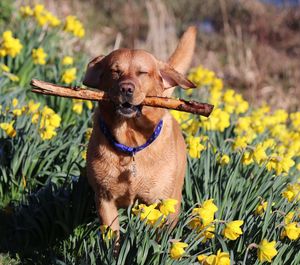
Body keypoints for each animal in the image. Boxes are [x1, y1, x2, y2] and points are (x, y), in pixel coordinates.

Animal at [83, 26, 198, 233]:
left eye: (142, 72)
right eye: (115, 71)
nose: (126, 88)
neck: (131, 143)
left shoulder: (162, 203)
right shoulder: (105, 200)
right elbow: (113, 237)